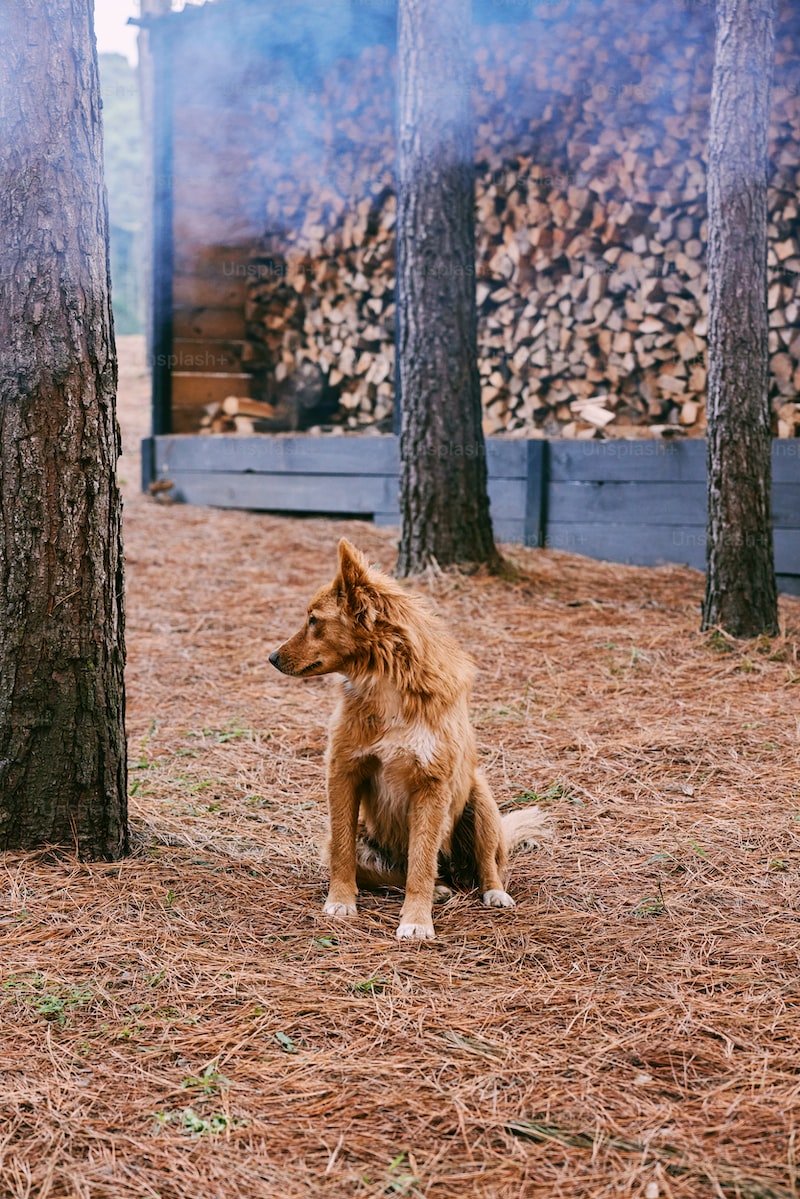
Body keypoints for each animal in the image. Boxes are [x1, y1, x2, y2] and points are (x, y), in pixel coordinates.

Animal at [272, 539, 546, 940]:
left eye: (313, 620)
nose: (271, 657)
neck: (386, 684)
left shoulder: (431, 786)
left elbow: (421, 861)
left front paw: (416, 920)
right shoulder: (343, 772)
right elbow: (343, 849)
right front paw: (340, 901)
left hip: (480, 799)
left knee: (484, 865)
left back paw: (491, 892)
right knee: (393, 873)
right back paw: (439, 889)